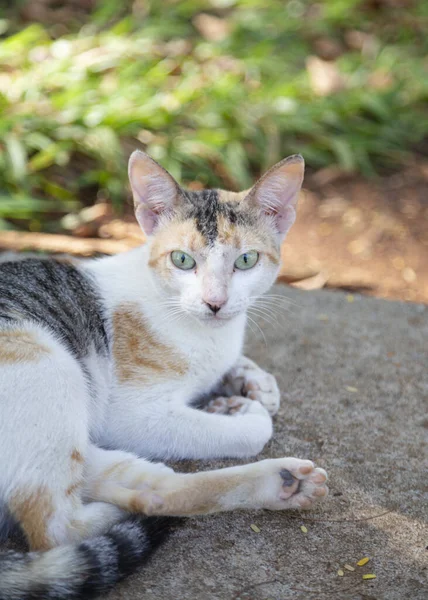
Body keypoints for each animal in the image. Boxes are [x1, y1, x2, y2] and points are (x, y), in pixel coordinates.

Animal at [0, 151, 328, 600]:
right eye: (182, 260)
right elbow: (255, 429)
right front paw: (242, 411)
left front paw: (252, 383)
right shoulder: (130, 415)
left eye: (246, 260)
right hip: (45, 364)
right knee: (57, 528)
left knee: (139, 479)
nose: (214, 302)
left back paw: (282, 483)